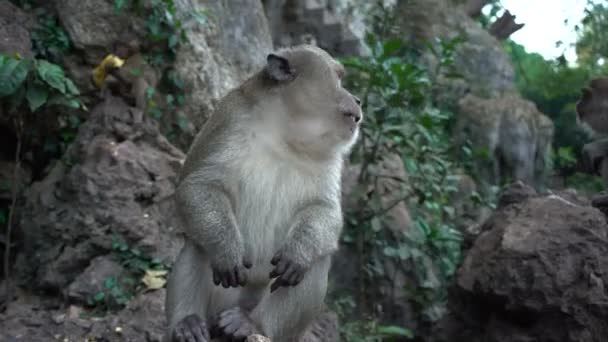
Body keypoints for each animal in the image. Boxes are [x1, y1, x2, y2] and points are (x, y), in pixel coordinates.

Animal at [165, 45, 360, 342]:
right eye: (339, 78)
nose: (357, 99)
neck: (286, 132)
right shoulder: (230, 117)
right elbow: (199, 185)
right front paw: (226, 250)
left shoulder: (333, 157)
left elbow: (323, 209)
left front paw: (298, 252)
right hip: (221, 296)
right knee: (197, 245)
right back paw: (187, 323)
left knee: (313, 264)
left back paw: (250, 325)